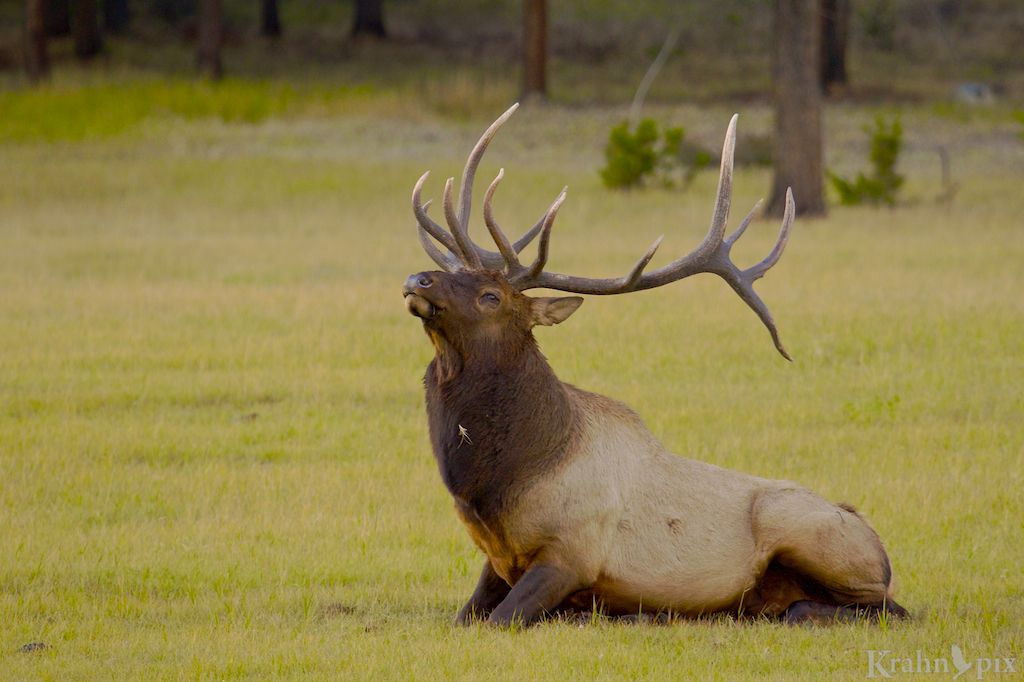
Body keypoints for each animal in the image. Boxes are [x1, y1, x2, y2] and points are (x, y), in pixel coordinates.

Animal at [402, 103, 907, 627]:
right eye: (455, 273)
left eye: (491, 296)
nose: (418, 278)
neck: (502, 484)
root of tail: (875, 542)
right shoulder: (496, 560)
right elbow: (465, 617)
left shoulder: (571, 554)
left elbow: (501, 620)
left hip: (810, 537)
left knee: (889, 608)